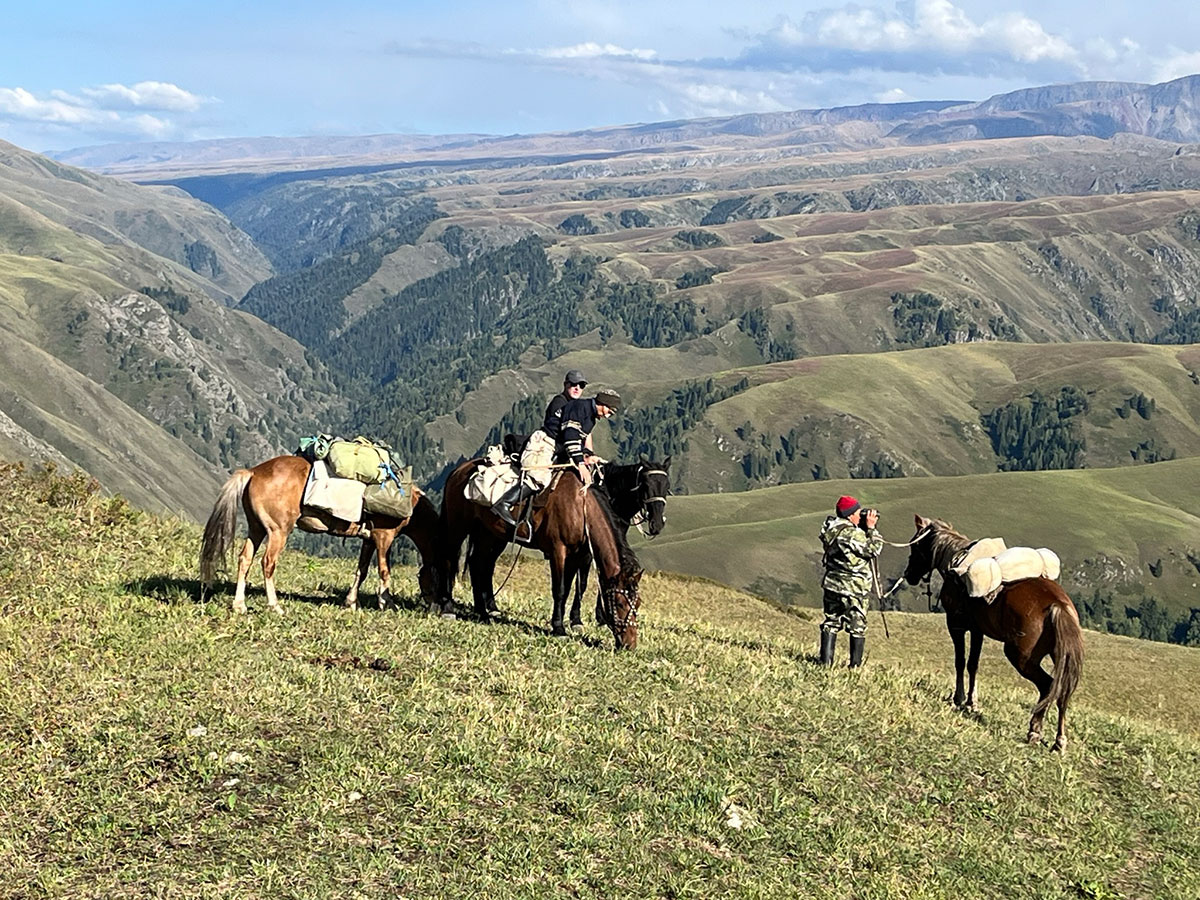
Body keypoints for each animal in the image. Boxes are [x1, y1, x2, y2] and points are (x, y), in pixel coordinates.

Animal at [199, 458, 444, 614]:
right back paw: (275, 606)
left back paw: (239, 605)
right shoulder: (384, 537)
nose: (435, 605)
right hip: (278, 531)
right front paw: (387, 603)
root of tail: (254, 472)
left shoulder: (368, 539)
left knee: (245, 559)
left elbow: (362, 571)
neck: (409, 503)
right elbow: (384, 571)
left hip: (256, 529)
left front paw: (351, 602)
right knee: (267, 563)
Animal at [441, 460, 648, 652]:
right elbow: (560, 589)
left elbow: (569, 588)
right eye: (620, 604)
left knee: (478, 563)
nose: (630, 644)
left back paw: (482, 612)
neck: (580, 508)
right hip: (458, 527)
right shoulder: (558, 551)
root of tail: (459, 470)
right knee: (451, 560)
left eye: (637, 604)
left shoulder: (576, 556)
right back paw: (448, 609)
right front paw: (559, 629)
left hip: (488, 533)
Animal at [902, 513, 1084, 753]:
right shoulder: (978, 630)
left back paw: (1034, 731)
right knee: (1062, 691)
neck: (955, 563)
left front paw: (959, 699)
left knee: (1047, 686)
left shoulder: (956, 626)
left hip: (1020, 656)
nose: (909, 575)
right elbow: (973, 664)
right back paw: (1059, 741)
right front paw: (972, 702)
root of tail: (1058, 605)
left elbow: (960, 661)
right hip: (1060, 656)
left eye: (915, 546)